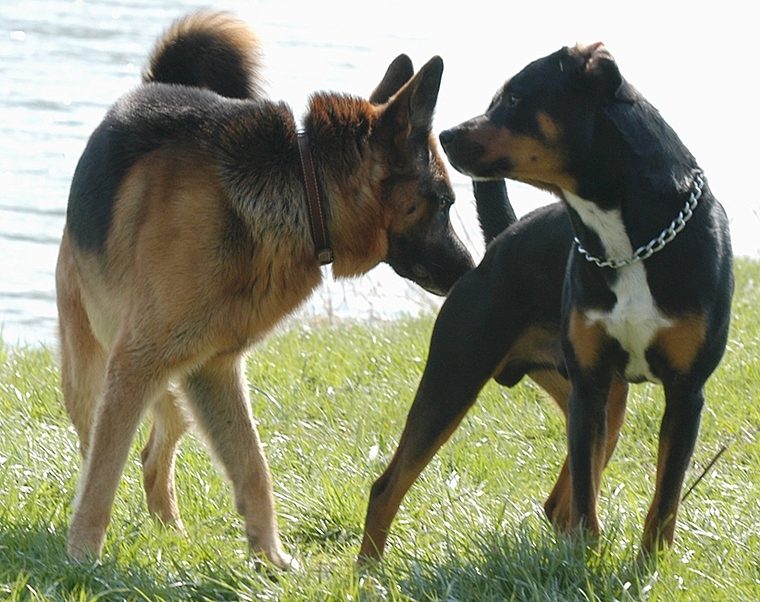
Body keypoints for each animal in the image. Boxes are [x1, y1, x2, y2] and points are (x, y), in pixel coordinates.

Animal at [58, 10, 476, 568]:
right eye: (445, 202)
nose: (472, 269)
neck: (304, 185)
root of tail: (147, 87)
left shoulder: (212, 369)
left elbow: (252, 465)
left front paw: (270, 559)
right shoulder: (137, 364)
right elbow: (101, 476)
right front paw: (82, 557)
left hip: (175, 386)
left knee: (153, 450)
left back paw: (170, 530)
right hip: (96, 374)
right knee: (98, 447)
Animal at [360, 41, 732, 556]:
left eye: (516, 99)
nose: (448, 135)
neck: (630, 242)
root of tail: (503, 240)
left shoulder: (683, 394)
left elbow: (663, 505)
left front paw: (646, 567)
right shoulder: (589, 389)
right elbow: (587, 504)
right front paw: (588, 563)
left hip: (600, 399)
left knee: (559, 504)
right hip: (459, 374)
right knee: (387, 487)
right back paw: (367, 571)